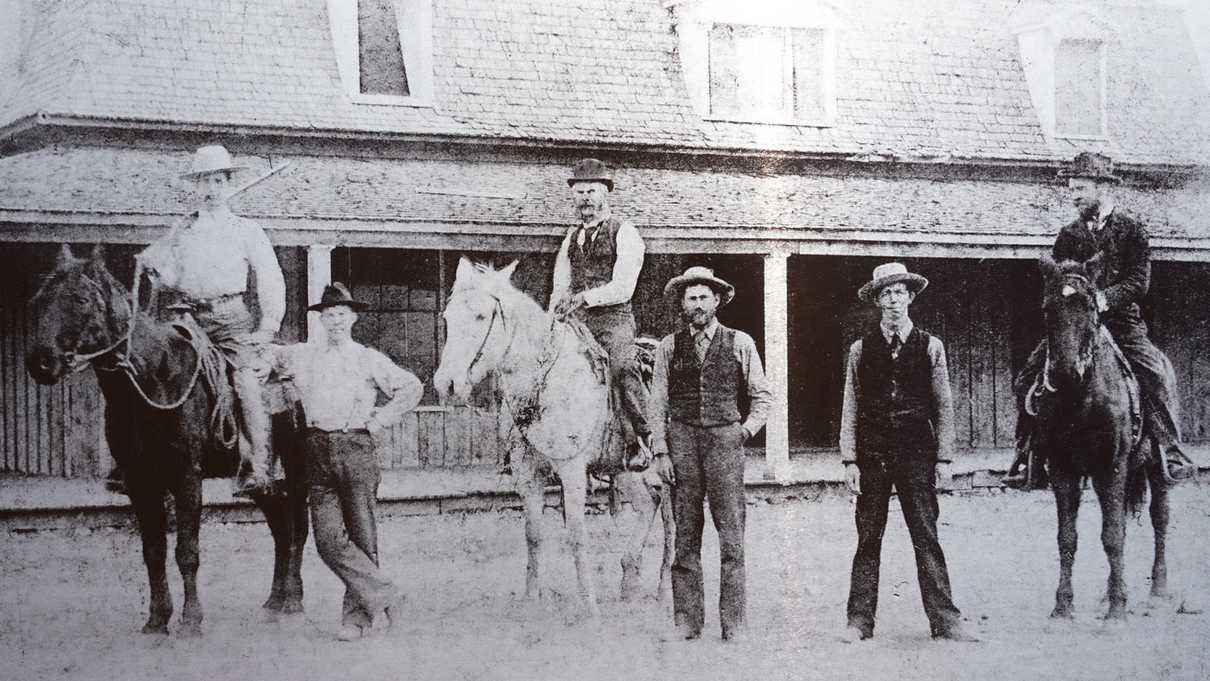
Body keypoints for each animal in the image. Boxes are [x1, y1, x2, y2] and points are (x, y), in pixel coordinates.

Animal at [26, 246, 309, 638]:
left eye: (80, 299)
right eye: (38, 301)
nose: (41, 363)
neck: (154, 379)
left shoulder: (187, 478)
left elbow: (186, 551)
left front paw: (191, 620)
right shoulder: (139, 482)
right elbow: (154, 552)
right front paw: (157, 619)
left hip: (298, 467)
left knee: (298, 525)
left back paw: (293, 600)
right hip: (260, 478)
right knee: (282, 525)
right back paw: (274, 601)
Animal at [433, 257, 677, 619]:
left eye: (480, 316)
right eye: (448, 317)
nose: (446, 384)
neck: (546, 382)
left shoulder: (572, 469)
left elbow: (576, 535)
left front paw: (589, 607)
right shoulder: (526, 471)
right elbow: (533, 534)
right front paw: (532, 598)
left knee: (672, 522)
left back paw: (664, 590)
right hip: (625, 468)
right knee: (650, 502)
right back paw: (629, 580)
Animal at [1035, 256, 1166, 624]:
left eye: (1090, 307)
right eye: (1047, 309)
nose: (1064, 373)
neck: (1081, 399)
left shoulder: (1112, 467)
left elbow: (1112, 536)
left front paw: (1117, 611)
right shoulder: (1062, 469)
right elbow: (1067, 537)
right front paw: (1063, 607)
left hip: (1156, 468)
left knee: (1159, 519)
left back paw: (1157, 590)